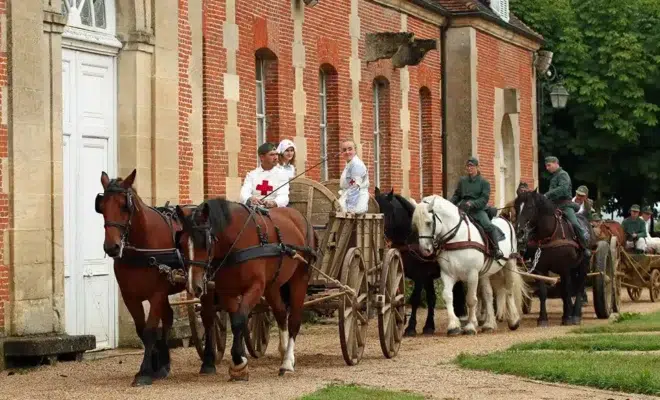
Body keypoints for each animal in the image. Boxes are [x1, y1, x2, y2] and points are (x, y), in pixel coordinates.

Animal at [96, 170, 193, 388]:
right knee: (168, 318)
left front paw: (145, 372)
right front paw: (154, 365)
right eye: (101, 206)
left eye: (125, 205)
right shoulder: (130, 296)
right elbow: (141, 330)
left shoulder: (156, 294)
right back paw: (164, 363)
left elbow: (149, 331)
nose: (111, 247)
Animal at [175, 198, 318, 380]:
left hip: (299, 279)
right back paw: (284, 352)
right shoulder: (227, 291)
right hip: (272, 285)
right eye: (181, 243)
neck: (236, 241)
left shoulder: (255, 287)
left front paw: (238, 362)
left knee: (294, 319)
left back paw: (287, 363)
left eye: (205, 243)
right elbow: (237, 319)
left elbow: (238, 320)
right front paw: (240, 360)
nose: (194, 285)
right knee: (280, 313)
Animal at [374, 188, 466, 334]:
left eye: (386, 210)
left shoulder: (420, 275)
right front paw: (426, 325)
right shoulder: (405, 273)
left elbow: (415, 298)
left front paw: (411, 327)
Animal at [410, 195, 528, 336]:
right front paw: (453, 326)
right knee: (488, 295)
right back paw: (489, 324)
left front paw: (471, 326)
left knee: (509, 290)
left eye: (428, 222)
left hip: (509, 264)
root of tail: (506, 219)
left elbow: (471, 299)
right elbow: (448, 296)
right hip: (485, 273)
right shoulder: (447, 274)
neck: (456, 237)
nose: (425, 250)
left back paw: (514, 320)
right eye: (415, 225)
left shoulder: (472, 274)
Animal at [512, 190, 596, 324]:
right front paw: (543, 319)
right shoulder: (540, 269)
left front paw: (567, 318)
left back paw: (576, 314)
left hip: (584, 264)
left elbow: (566, 290)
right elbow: (543, 292)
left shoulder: (564, 268)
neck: (550, 234)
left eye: (530, 207)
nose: (519, 232)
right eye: (516, 207)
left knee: (579, 286)